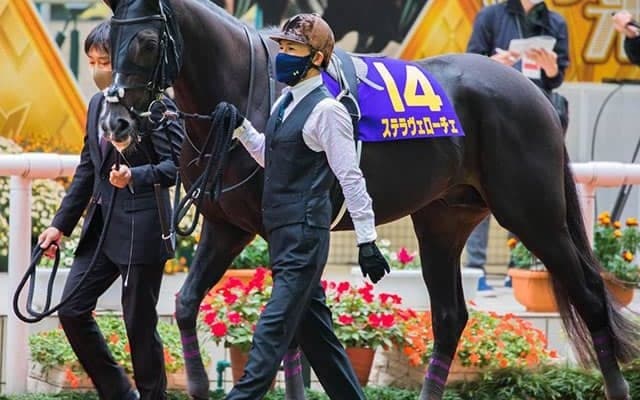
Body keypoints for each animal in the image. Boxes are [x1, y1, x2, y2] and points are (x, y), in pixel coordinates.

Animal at [100, 1, 640, 399]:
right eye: (108, 37)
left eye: (147, 41)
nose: (116, 123)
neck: (253, 85)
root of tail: (531, 91)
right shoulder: (226, 224)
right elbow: (189, 304)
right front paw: (196, 383)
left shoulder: (275, 230)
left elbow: (290, 325)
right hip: (443, 220)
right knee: (450, 317)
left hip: (534, 214)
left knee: (591, 296)